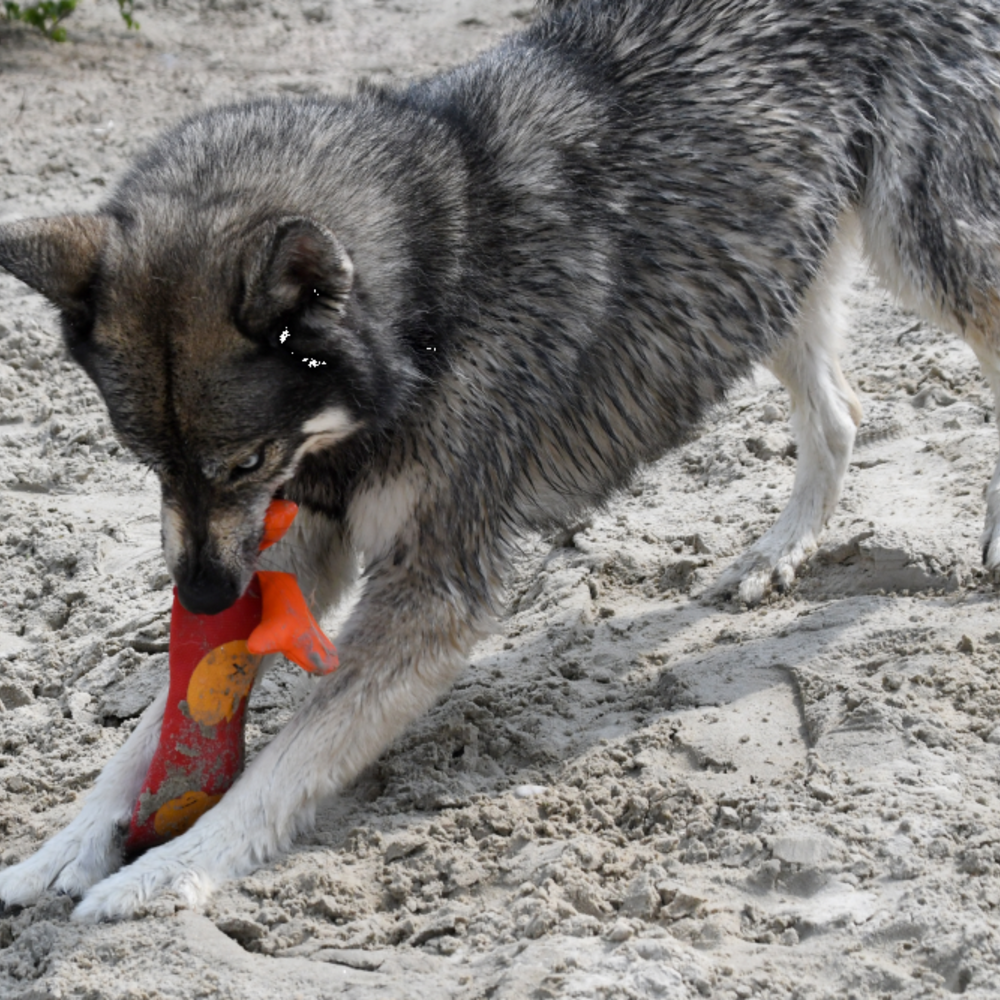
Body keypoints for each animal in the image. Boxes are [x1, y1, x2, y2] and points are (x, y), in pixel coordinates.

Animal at [1, 0, 1000, 920]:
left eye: (244, 462)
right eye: (144, 462)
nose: (205, 597)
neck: (438, 284)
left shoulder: (430, 588)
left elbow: (286, 759)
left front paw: (171, 868)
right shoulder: (296, 541)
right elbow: (144, 737)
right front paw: (65, 848)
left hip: (927, 255)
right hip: (757, 273)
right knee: (842, 416)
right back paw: (774, 554)